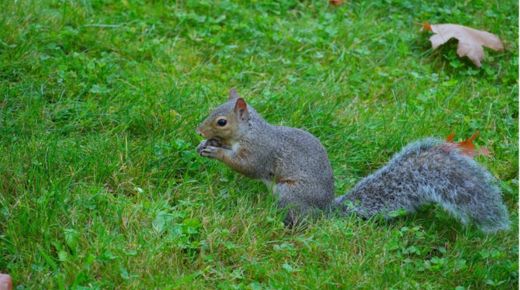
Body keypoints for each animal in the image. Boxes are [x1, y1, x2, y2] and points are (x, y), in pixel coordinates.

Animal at [197, 89, 510, 233]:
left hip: (291, 195)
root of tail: (325, 211)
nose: (199, 130)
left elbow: (248, 167)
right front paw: (207, 145)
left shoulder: (261, 152)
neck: (250, 131)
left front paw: (216, 152)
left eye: (221, 121)